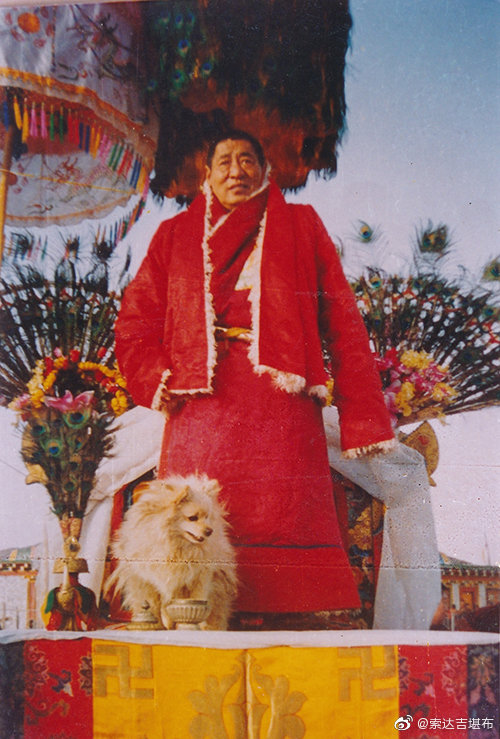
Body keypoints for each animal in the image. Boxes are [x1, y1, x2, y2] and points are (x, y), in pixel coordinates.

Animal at [106, 474, 237, 629]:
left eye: (207, 517)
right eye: (193, 518)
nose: (209, 531)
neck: (177, 546)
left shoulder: (200, 577)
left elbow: (199, 597)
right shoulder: (159, 577)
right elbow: (162, 602)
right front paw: (165, 622)